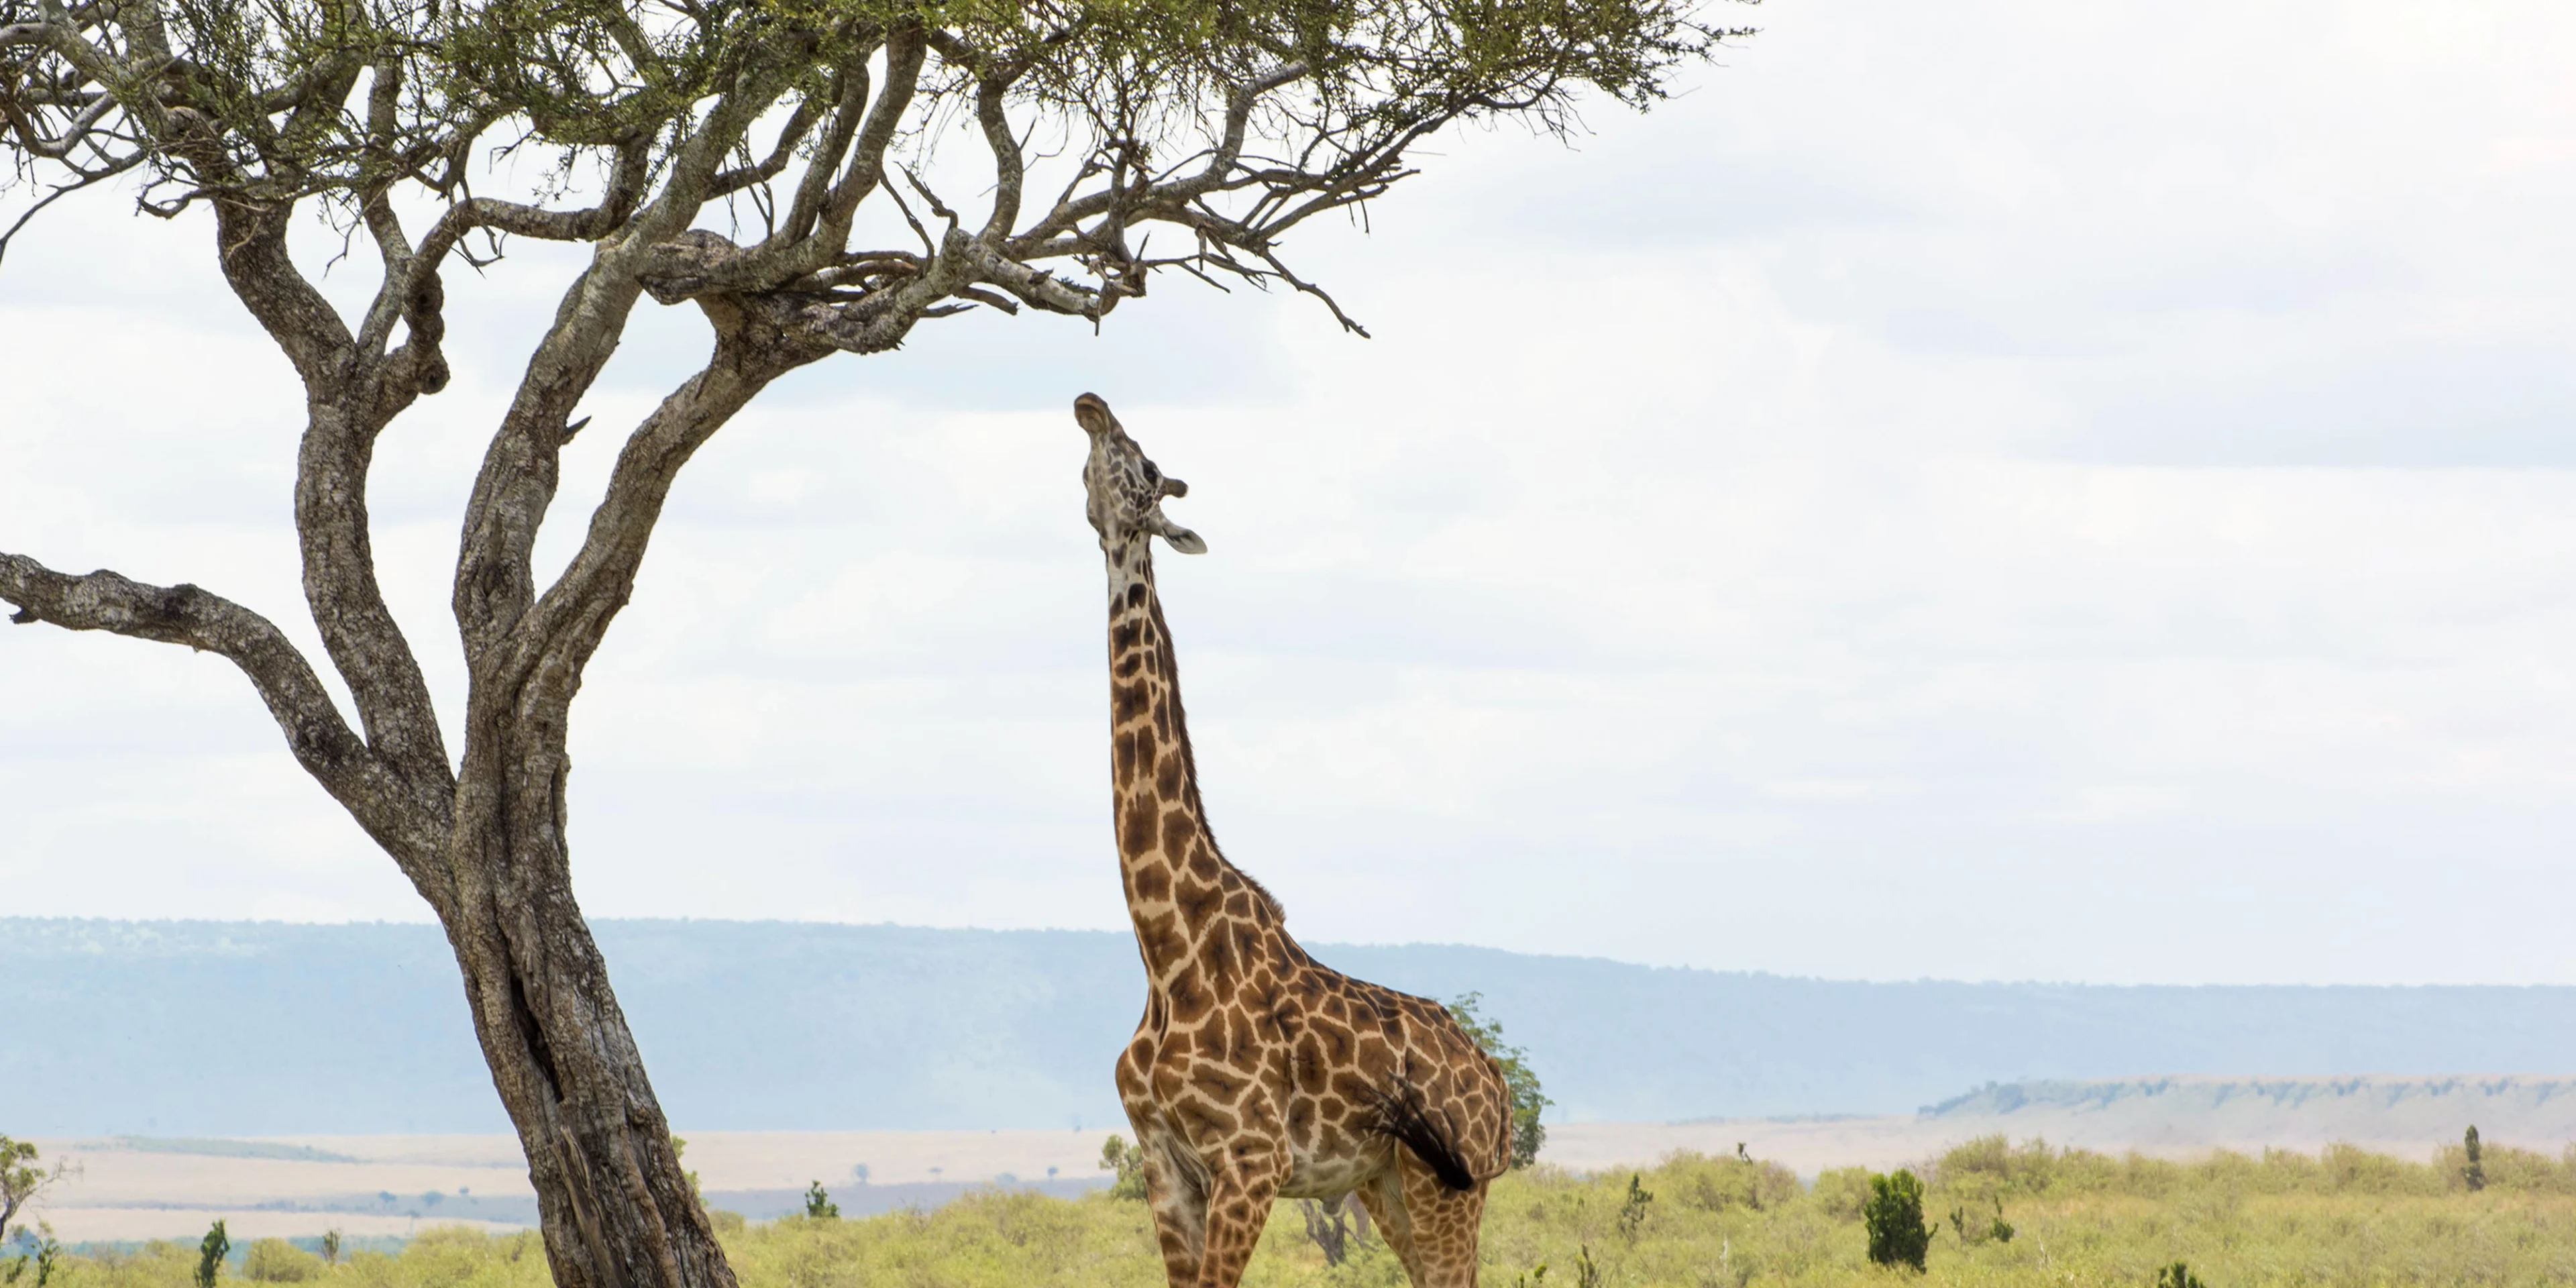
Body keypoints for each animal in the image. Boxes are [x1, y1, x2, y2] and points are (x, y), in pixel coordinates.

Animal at [1077, 391, 1514, 1288]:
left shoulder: (1252, 1160)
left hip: (1449, 1187)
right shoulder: (1165, 1166)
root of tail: (1498, 1091)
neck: (1166, 947)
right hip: (1389, 1182)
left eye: (1145, 461)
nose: (1090, 405)